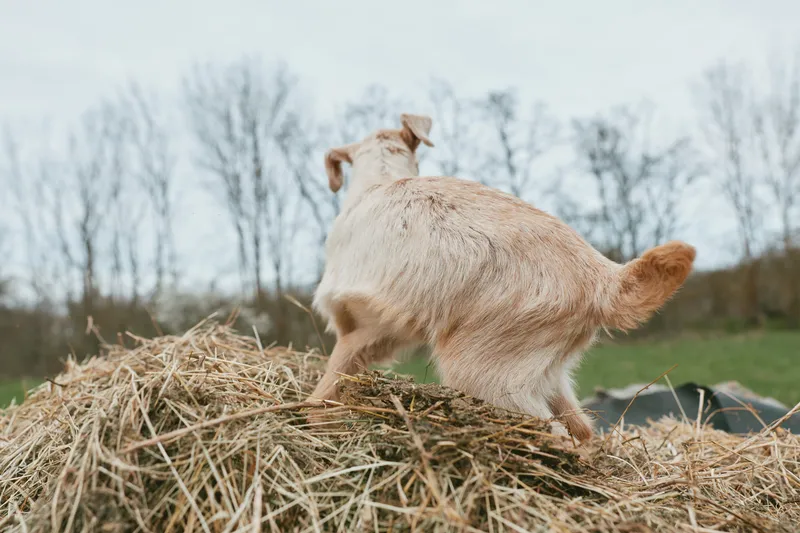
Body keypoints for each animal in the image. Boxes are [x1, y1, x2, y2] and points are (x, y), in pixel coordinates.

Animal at [309, 113, 696, 442]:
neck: (380, 180)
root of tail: (603, 277)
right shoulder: (382, 329)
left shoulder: (356, 326)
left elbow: (330, 380)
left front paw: (312, 417)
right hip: (544, 371)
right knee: (581, 429)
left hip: (485, 372)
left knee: (555, 434)